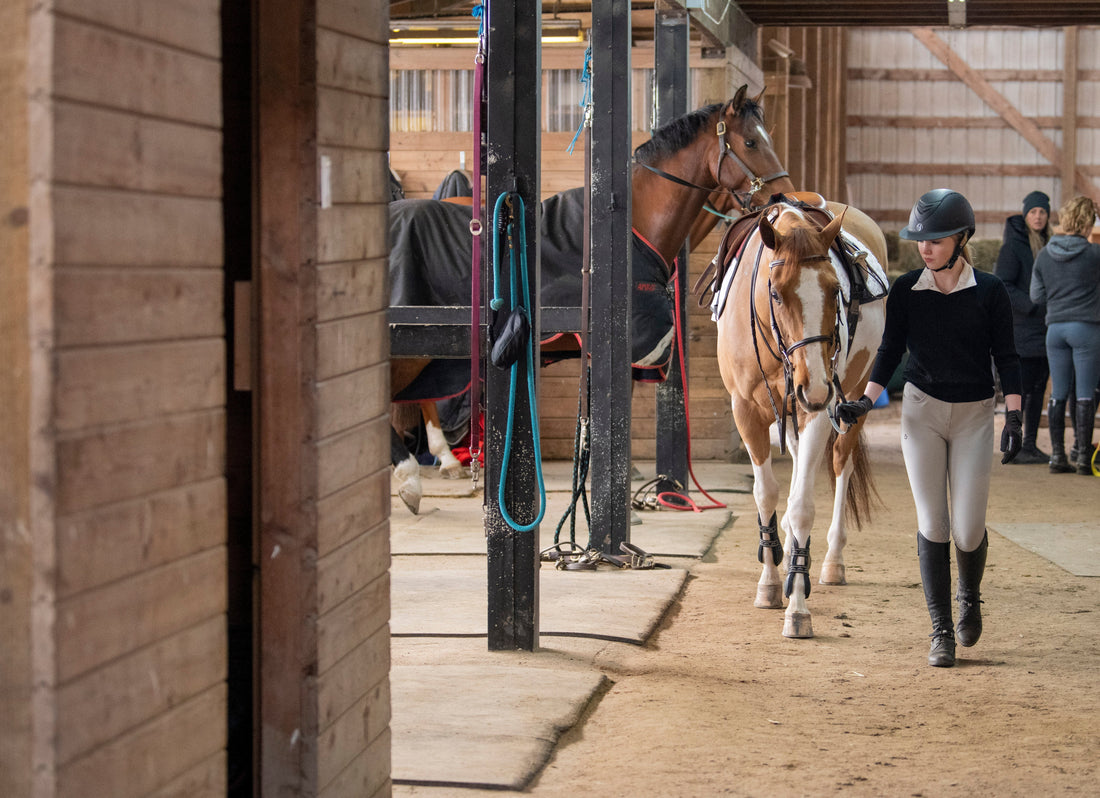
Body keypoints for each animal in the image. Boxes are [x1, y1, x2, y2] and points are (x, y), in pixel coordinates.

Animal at [709, 197, 888, 638]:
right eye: (775, 291)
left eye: (836, 290)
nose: (817, 385)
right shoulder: (746, 410)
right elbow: (767, 495)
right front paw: (772, 584)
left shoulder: (819, 411)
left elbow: (803, 503)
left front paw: (798, 606)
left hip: (853, 396)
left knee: (841, 464)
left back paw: (831, 562)